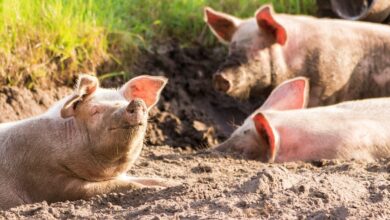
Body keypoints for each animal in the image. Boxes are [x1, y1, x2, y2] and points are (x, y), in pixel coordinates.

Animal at [0, 74, 171, 210]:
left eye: (123, 101)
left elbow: (150, 179)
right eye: (95, 111)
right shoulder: (48, 180)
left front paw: (172, 184)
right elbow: (119, 185)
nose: (136, 102)